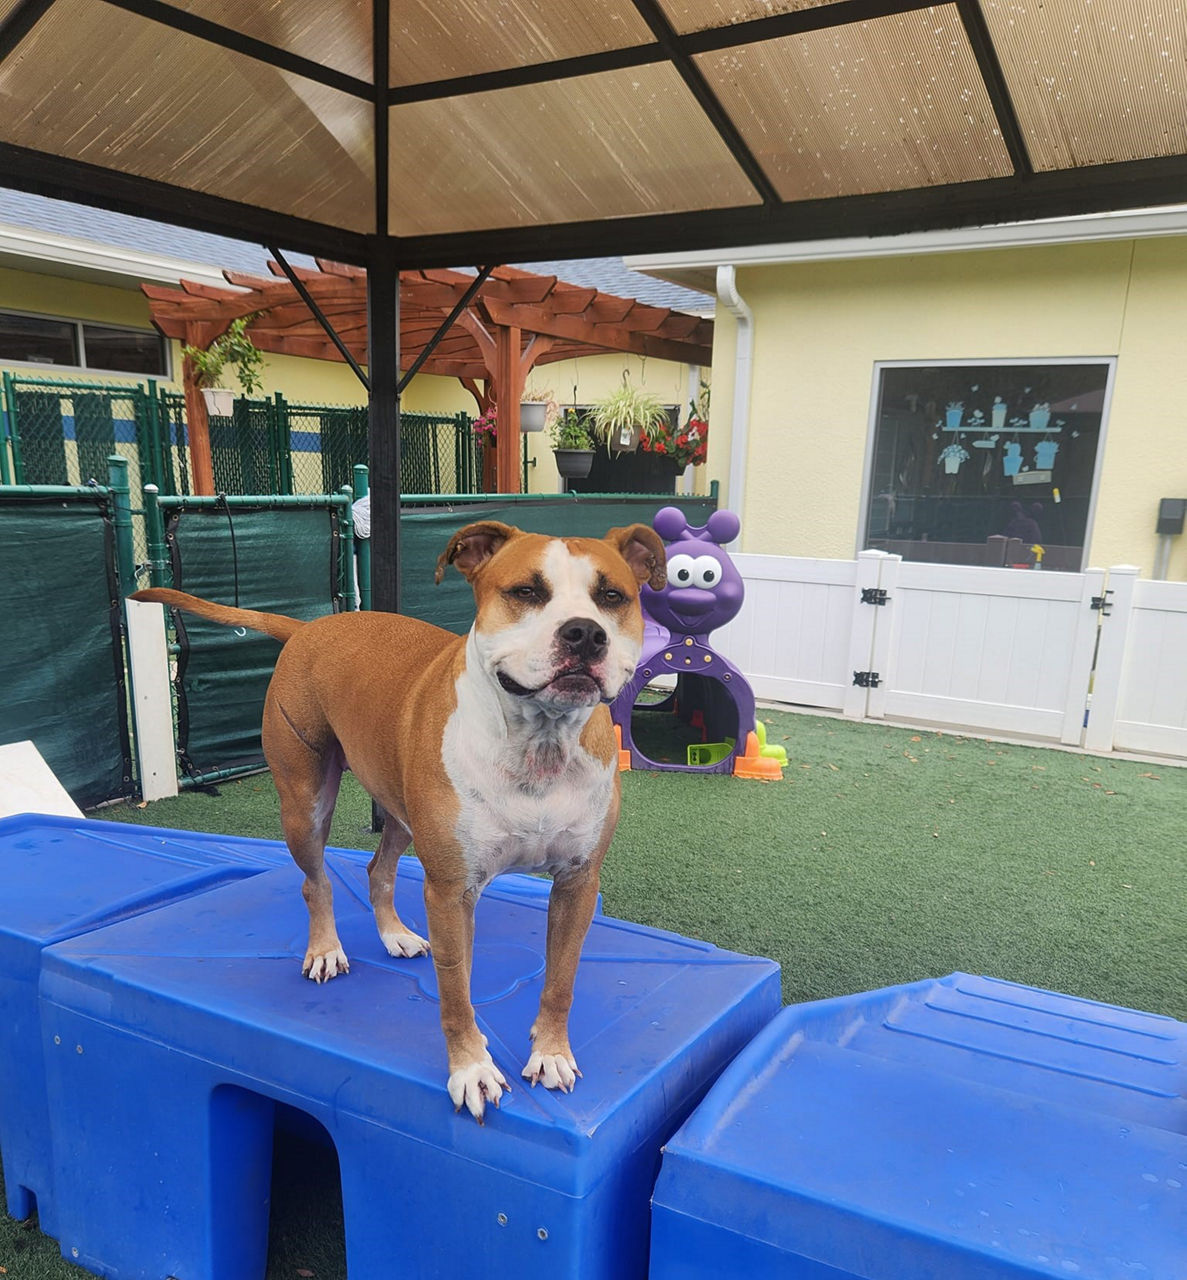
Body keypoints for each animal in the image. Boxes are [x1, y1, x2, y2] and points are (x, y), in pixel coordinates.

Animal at [133, 519, 665, 1121]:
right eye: (527, 591)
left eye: (612, 597)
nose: (585, 633)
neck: (539, 742)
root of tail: (310, 626)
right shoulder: (451, 891)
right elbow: (456, 991)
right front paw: (472, 1069)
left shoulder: (577, 883)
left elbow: (561, 979)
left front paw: (551, 1053)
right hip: (305, 803)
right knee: (315, 882)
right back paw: (325, 949)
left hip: (401, 814)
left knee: (378, 870)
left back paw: (394, 935)